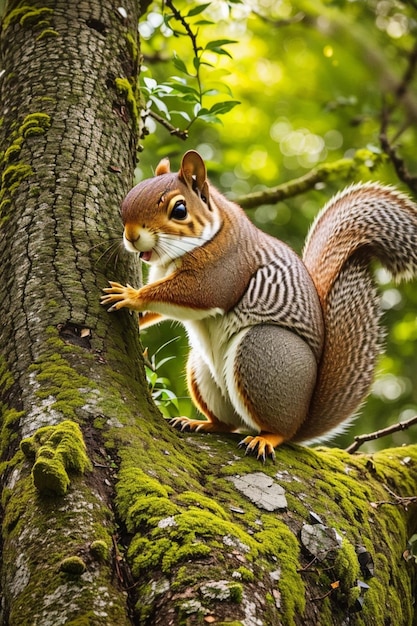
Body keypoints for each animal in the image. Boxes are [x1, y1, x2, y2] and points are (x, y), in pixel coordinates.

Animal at [101, 149, 416, 456]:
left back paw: (266, 438)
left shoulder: (225, 269)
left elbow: (197, 294)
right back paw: (201, 423)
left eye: (179, 210)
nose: (131, 236)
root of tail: (302, 418)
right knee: (228, 424)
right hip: (201, 370)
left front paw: (131, 297)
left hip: (262, 352)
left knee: (277, 430)